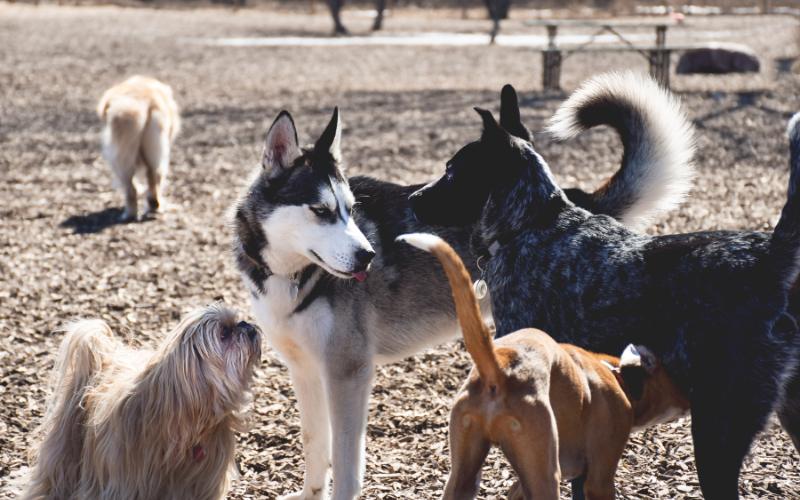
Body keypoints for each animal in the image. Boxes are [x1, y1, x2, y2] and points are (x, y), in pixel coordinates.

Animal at [97, 75, 180, 221]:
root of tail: (142, 101)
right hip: (155, 153)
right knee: (152, 179)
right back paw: (152, 206)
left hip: (119, 156)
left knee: (132, 187)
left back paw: (132, 213)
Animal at [400, 233, 692, 500]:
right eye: (674, 373)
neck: (617, 375)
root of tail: (500, 366)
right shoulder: (599, 479)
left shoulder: (521, 483)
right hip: (546, 473)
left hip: (465, 473)